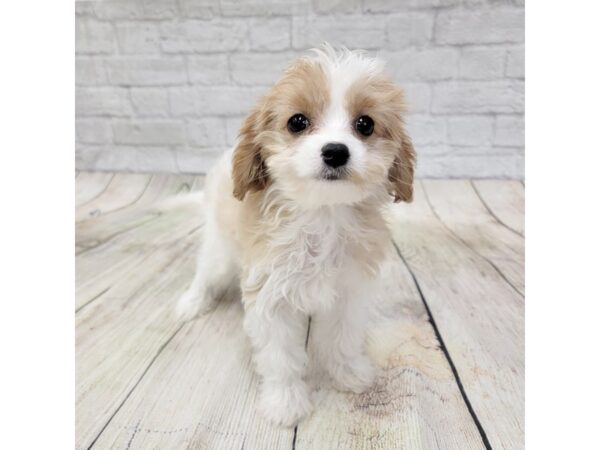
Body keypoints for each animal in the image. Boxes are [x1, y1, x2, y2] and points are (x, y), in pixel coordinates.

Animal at [176, 46, 414, 428]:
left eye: (365, 124)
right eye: (297, 122)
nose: (336, 151)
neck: (321, 215)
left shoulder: (349, 291)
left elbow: (343, 338)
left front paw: (349, 372)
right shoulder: (270, 299)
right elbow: (280, 358)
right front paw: (285, 402)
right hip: (219, 249)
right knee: (205, 274)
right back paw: (192, 303)